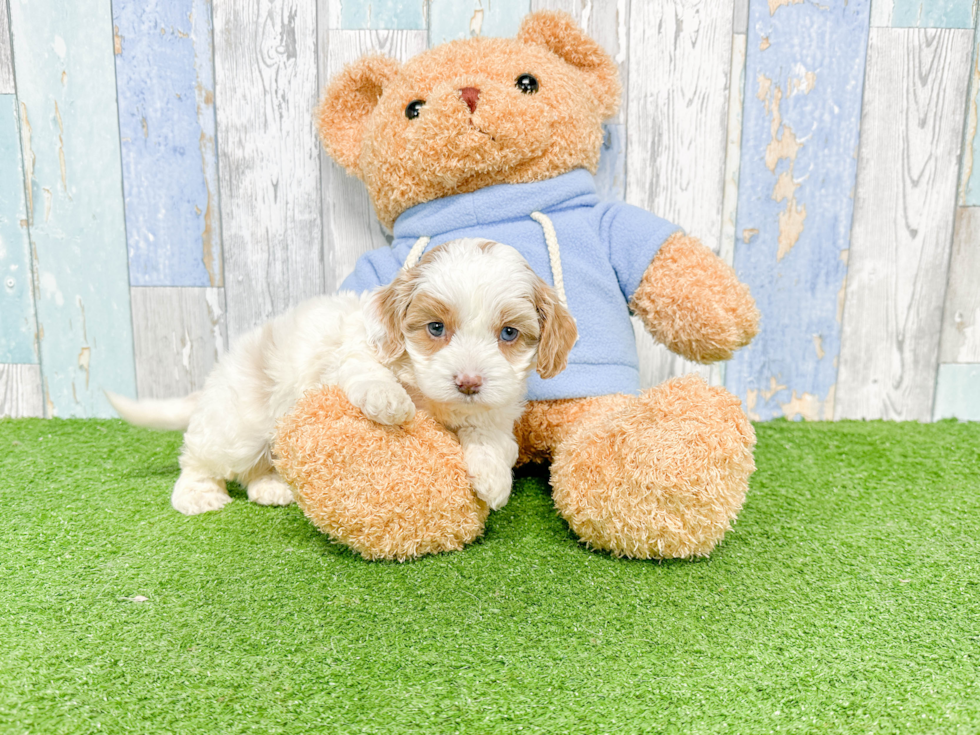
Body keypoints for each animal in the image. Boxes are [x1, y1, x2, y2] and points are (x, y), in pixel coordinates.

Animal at [109, 239, 576, 516]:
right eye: (436, 328)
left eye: (509, 334)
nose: (468, 382)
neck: (435, 401)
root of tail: (217, 376)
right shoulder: (351, 351)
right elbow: (367, 373)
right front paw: (390, 401)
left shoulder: (494, 410)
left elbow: (493, 439)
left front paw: (493, 478)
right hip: (238, 424)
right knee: (200, 457)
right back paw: (199, 494)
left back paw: (271, 487)